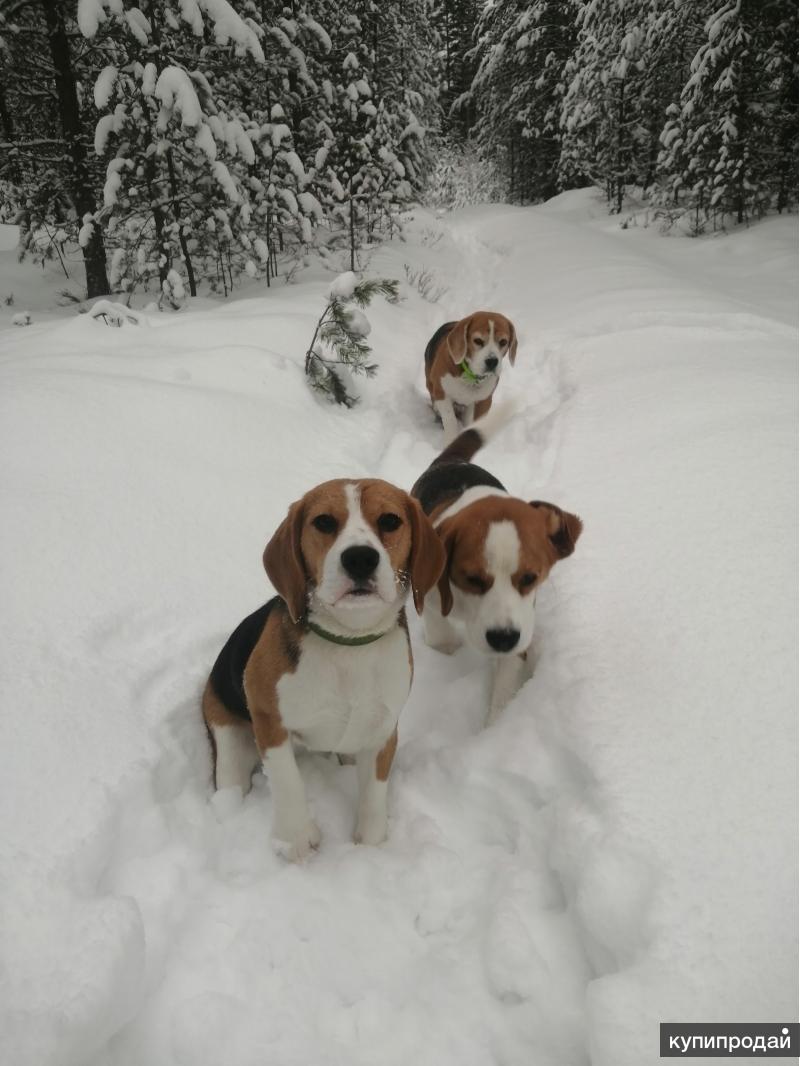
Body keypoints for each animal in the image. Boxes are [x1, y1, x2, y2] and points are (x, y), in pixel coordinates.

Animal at [201, 479, 445, 861]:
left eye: (390, 521)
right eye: (324, 522)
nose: (360, 558)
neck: (348, 642)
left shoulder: (382, 729)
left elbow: (374, 794)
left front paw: (370, 846)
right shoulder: (269, 718)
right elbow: (287, 780)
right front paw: (296, 840)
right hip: (227, 743)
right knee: (230, 780)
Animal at [413, 407, 584, 724]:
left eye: (530, 578)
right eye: (471, 578)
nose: (503, 639)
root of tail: (450, 461)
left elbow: (503, 695)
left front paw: (495, 728)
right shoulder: (430, 599)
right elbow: (442, 638)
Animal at [426, 311, 520, 443]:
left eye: (503, 342)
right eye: (478, 341)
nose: (492, 361)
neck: (471, 377)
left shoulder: (484, 401)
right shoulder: (441, 393)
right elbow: (450, 420)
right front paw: (450, 441)